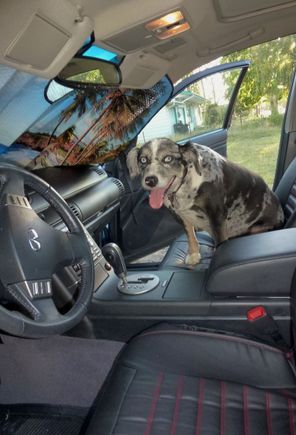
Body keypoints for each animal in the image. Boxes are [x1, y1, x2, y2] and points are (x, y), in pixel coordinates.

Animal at [127, 139, 284, 266]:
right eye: (143, 160)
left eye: (168, 158)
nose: (150, 180)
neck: (187, 182)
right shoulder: (181, 214)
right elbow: (190, 236)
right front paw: (193, 255)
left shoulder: (216, 215)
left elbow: (220, 241)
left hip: (255, 228)